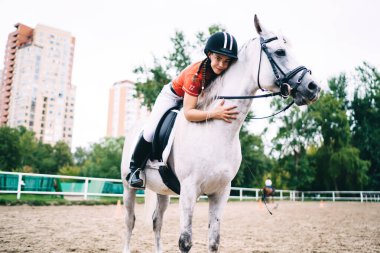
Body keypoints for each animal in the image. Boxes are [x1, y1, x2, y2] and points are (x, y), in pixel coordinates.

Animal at [120, 14, 320, 252]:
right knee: (129, 222)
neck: (216, 132)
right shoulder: (188, 191)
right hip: (128, 187)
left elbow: (214, 241)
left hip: (162, 191)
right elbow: (185, 241)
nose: (313, 87)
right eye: (280, 51)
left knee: (156, 221)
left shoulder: (220, 193)